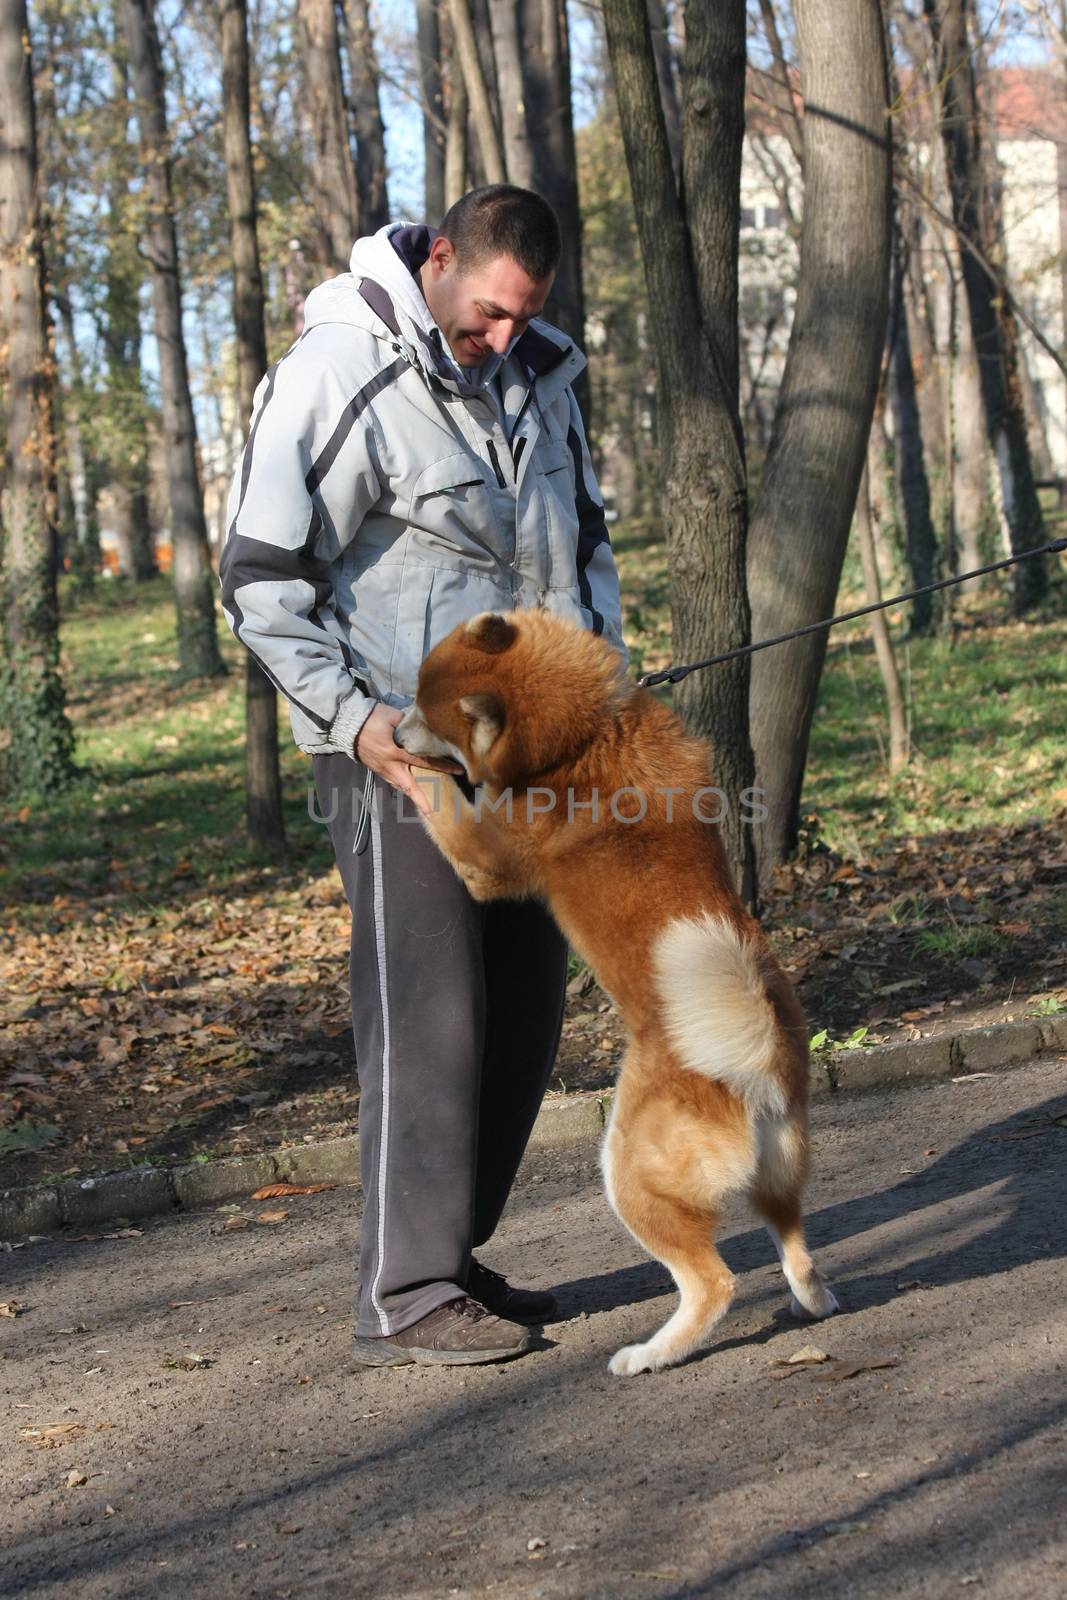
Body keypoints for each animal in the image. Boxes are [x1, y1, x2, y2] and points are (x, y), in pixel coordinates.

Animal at [396, 611, 838, 1376]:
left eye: (425, 714)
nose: (391, 732)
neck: (585, 735)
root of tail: (754, 1063)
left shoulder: (483, 861)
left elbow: (445, 796)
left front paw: (408, 766)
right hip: (778, 1175)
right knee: (798, 1250)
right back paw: (808, 1302)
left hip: (628, 1175)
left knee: (713, 1283)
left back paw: (650, 1354)